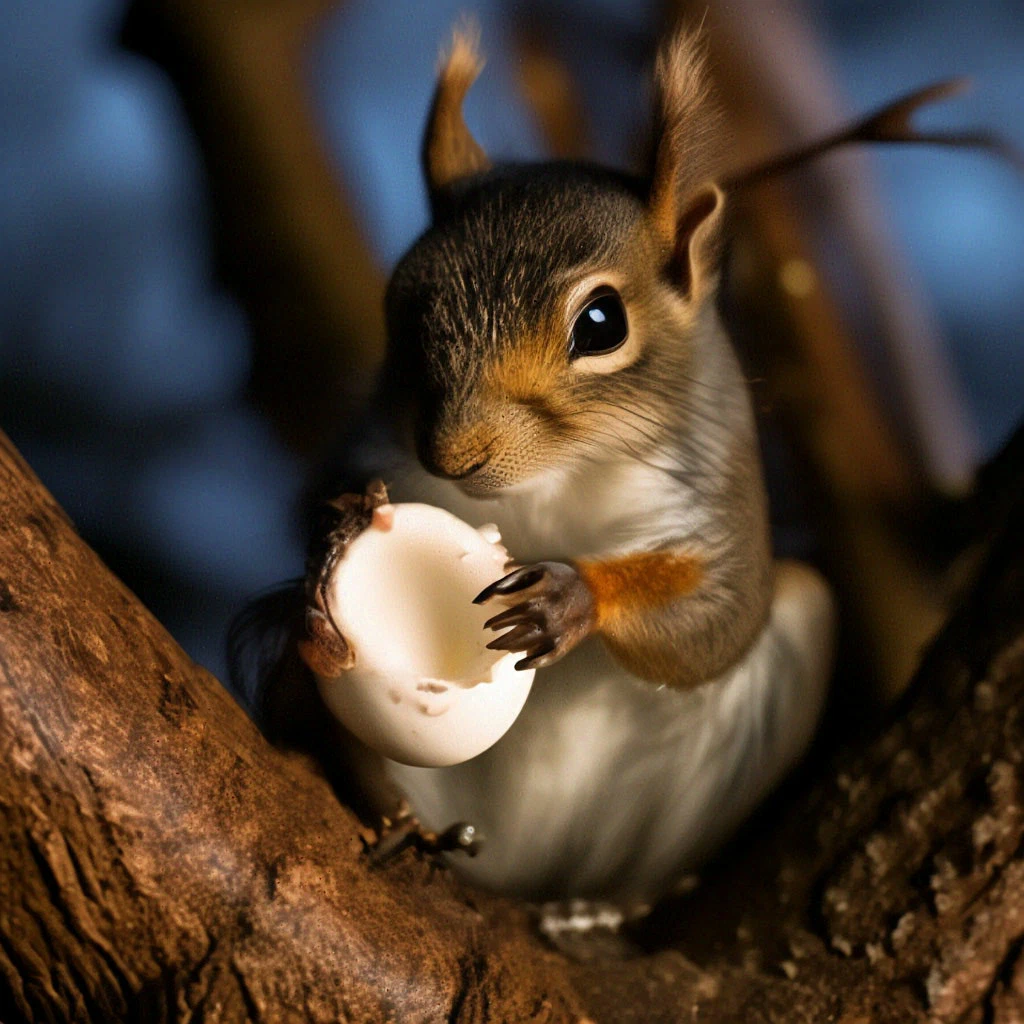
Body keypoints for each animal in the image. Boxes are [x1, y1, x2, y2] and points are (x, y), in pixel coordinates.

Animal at [234, 28, 839, 905]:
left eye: (602, 322)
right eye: (400, 304)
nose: (453, 452)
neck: (549, 484)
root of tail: (515, 873)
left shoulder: (714, 481)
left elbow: (718, 614)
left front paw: (571, 595)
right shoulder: (374, 449)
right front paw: (322, 589)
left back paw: (606, 908)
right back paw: (413, 830)